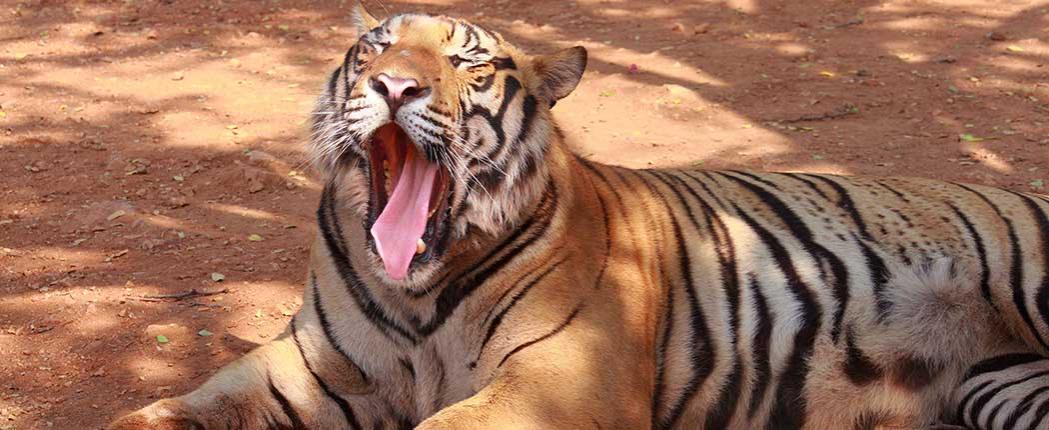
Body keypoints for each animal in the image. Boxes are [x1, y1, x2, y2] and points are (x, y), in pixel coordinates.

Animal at [109, 4, 1049, 430]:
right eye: (376, 45)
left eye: (467, 63)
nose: (394, 85)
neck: (418, 291)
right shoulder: (311, 370)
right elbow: (169, 409)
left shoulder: (559, 381)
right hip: (1002, 389)